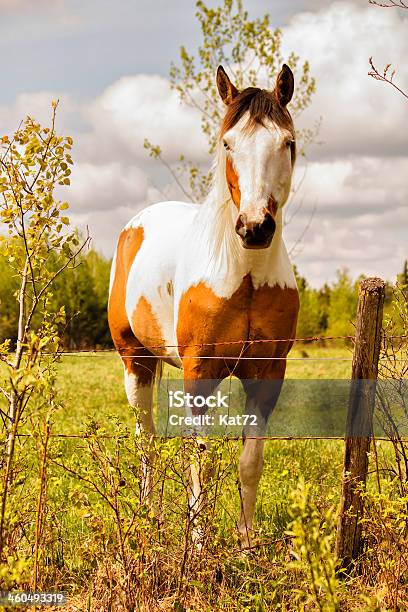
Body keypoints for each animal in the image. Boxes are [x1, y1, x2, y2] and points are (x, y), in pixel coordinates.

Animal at [108, 64, 300, 548]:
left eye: (287, 143)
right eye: (228, 143)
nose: (254, 227)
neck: (244, 275)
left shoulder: (267, 377)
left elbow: (249, 462)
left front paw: (246, 542)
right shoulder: (199, 374)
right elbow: (201, 459)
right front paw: (196, 544)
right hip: (135, 361)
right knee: (146, 438)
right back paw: (149, 515)